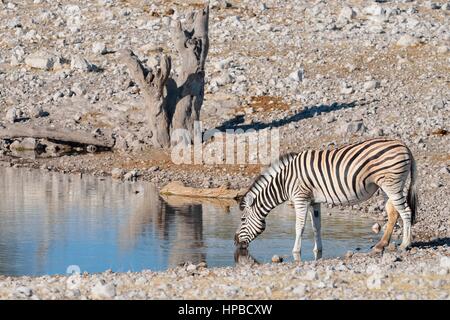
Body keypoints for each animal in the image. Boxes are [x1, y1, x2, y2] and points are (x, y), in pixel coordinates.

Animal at [236, 139, 418, 258]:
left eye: (243, 219)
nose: (235, 242)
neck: (284, 181)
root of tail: (404, 146)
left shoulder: (300, 198)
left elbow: (299, 227)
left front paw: (295, 251)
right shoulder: (313, 202)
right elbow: (316, 227)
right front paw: (318, 250)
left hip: (392, 184)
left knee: (406, 212)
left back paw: (405, 244)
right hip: (390, 186)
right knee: (393, 211)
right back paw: (381, 245)